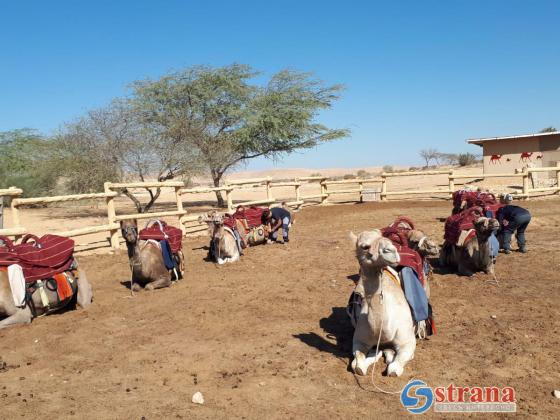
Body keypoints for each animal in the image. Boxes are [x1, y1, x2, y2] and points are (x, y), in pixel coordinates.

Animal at [350, 230, 416, 378]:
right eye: (365, 246)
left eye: (383, 237)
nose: (391, 251)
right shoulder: (359, 340)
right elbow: (357, 365)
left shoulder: (407, 341)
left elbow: (394, 369)